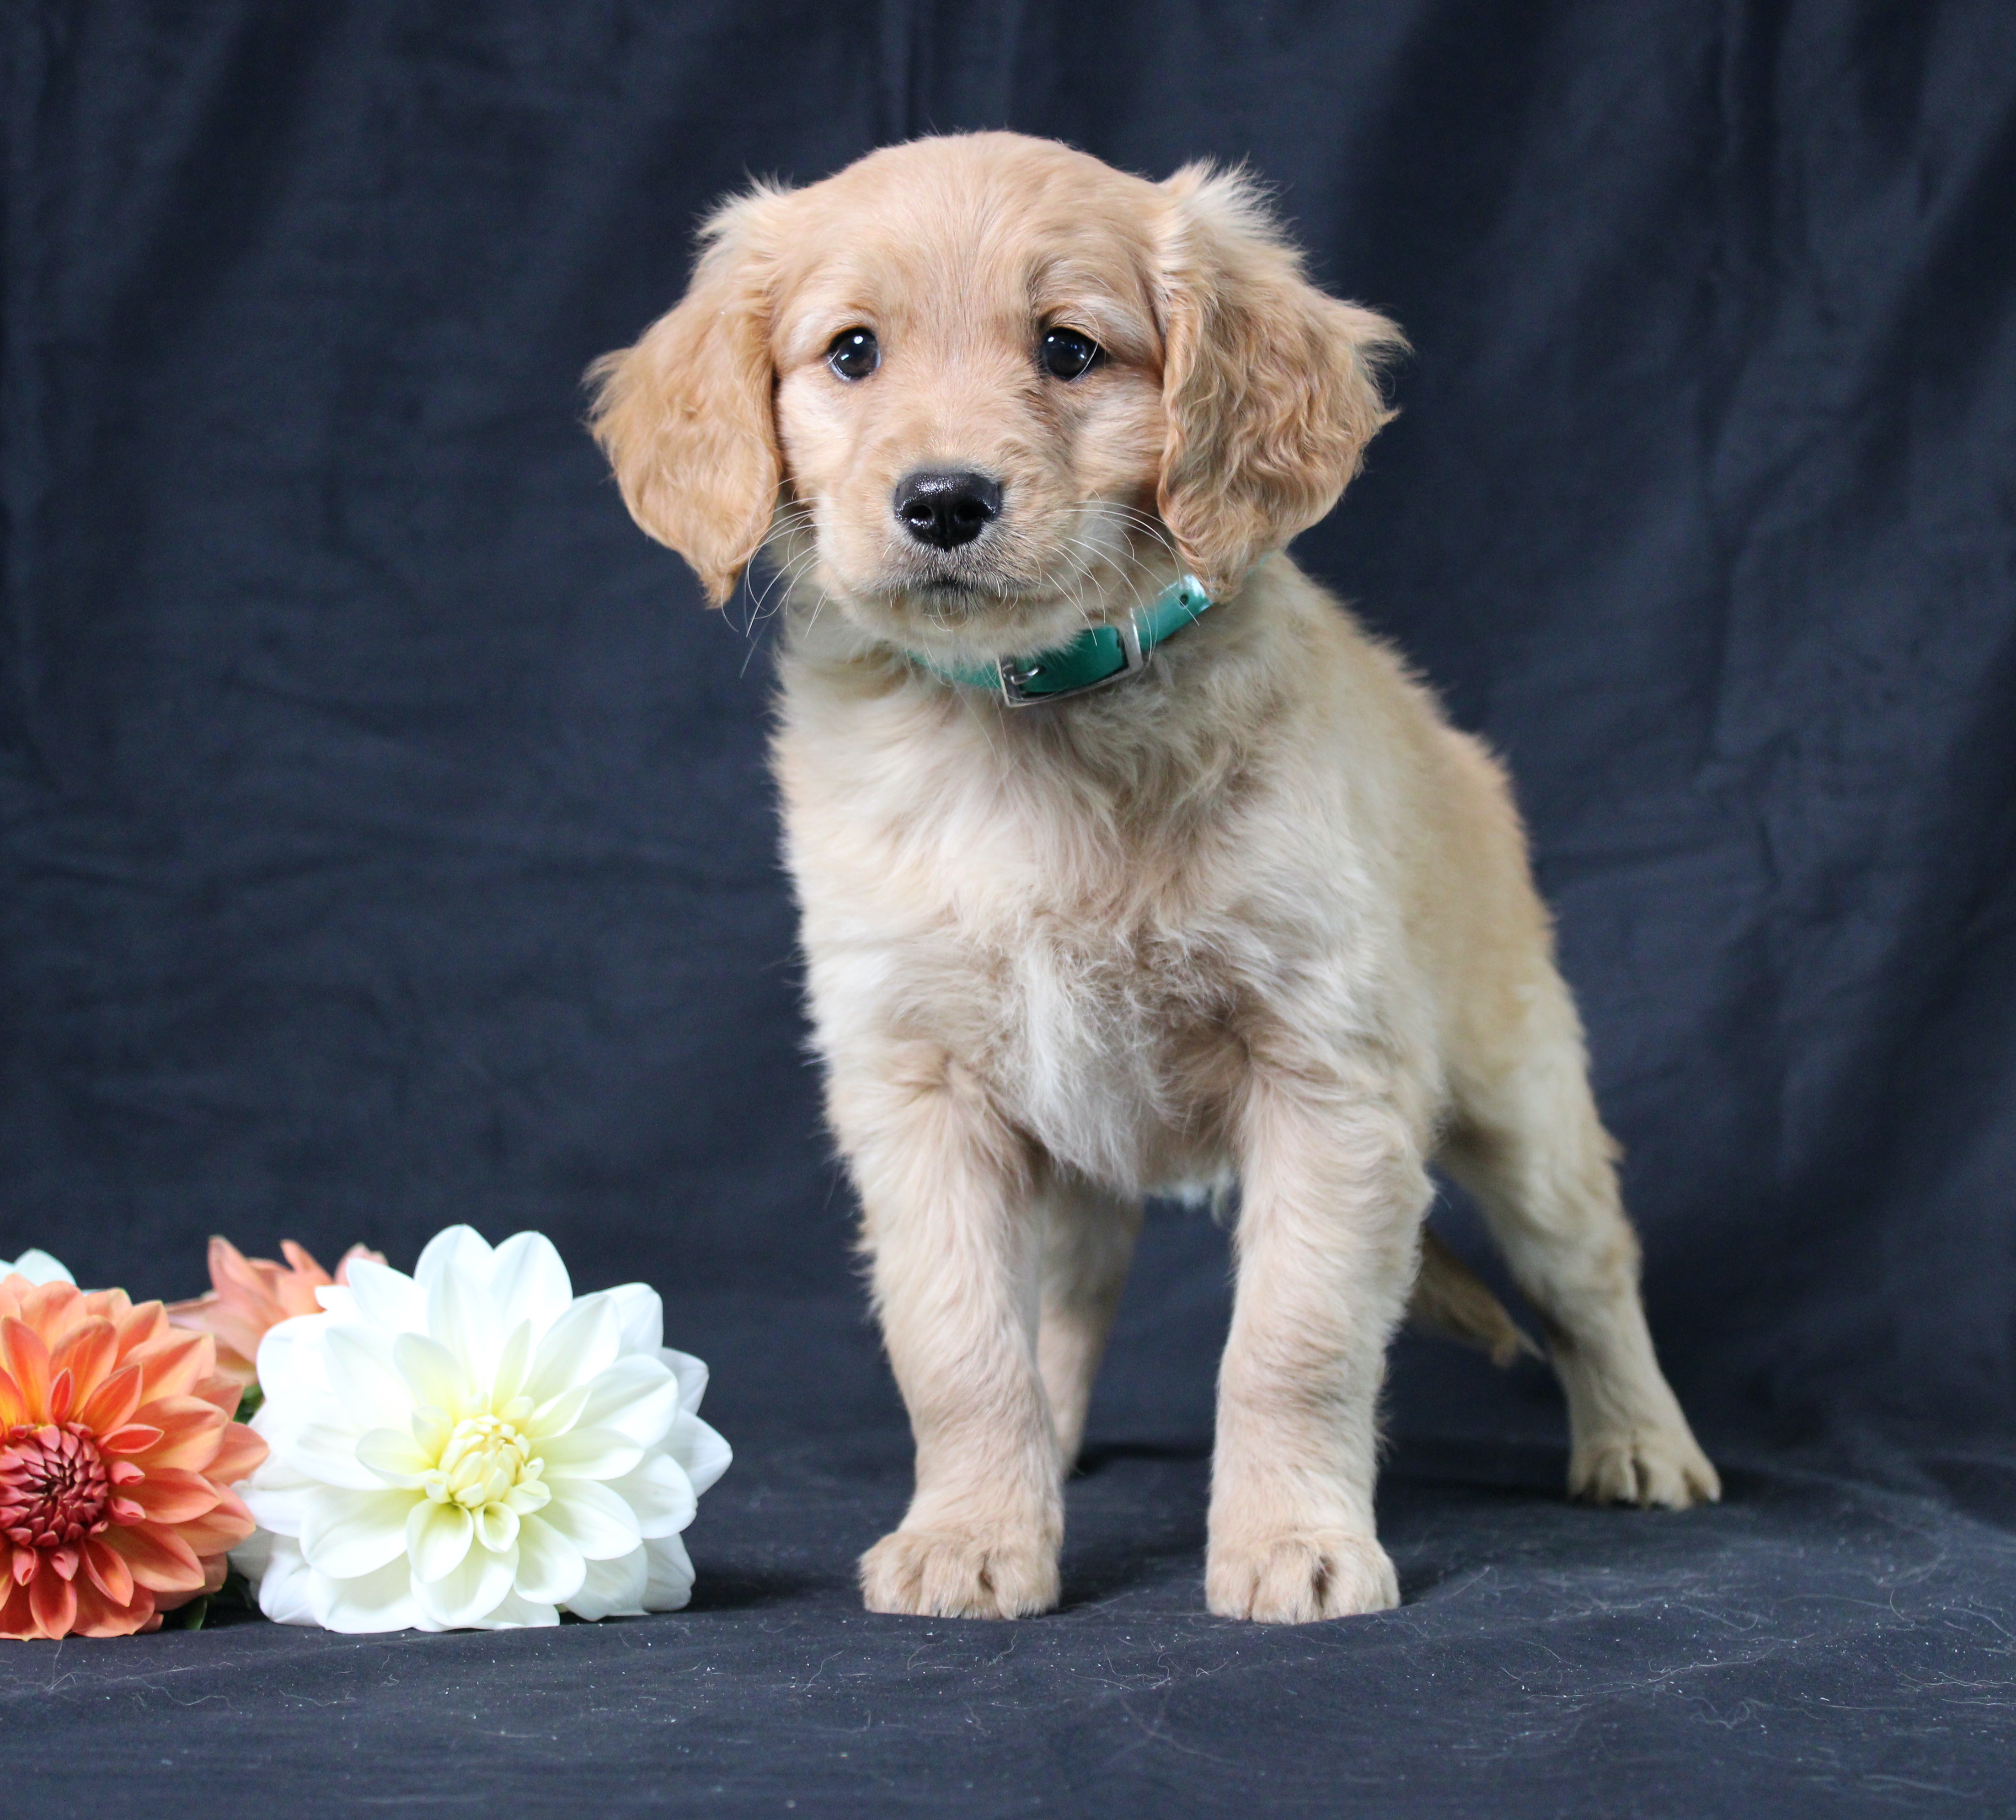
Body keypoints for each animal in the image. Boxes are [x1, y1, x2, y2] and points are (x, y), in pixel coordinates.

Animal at [588, 135, 1717, 1628]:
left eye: (1068, 350)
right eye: (851, 354)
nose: (942, 502)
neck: (1033, 717)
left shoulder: (1324, 1072)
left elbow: (1291, 1341)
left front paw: (1292, 1542)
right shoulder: (917, 1085)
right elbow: (958, 1342)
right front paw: (972, 1534)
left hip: (1519, 1098)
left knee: (1590, 1271)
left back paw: (1640, 1442)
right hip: (1071, 1156)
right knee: (1065, 1309)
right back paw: (1049, 1451)